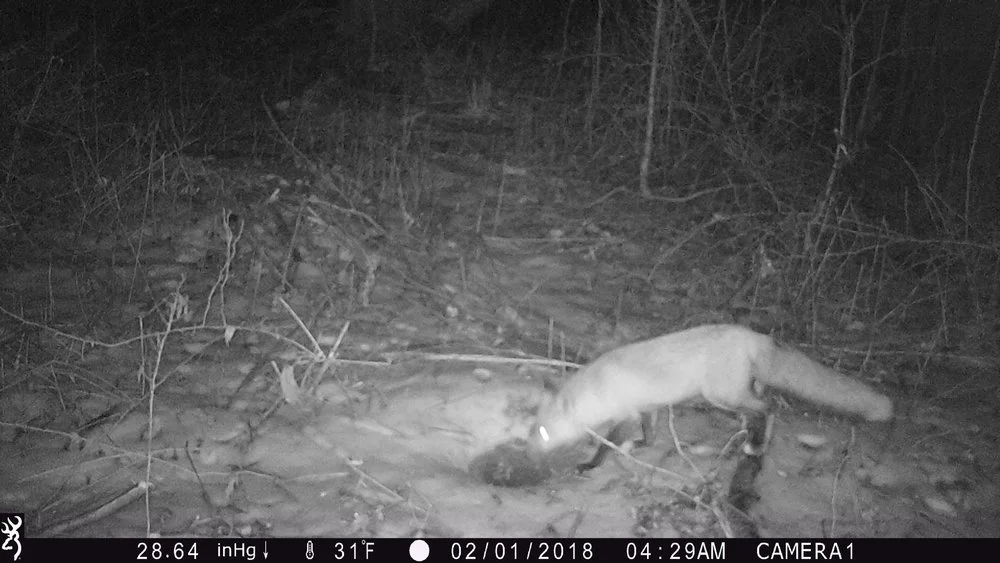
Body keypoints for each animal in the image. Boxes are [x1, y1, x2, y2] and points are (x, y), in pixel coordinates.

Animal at [532, 324, 893, 472]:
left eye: (543, 433)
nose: (529, 451)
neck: (597, 388)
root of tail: (755, 336)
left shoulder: (627, 413)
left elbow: (608, 445)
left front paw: (590, 464)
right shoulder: (647, 408)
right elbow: (650, 434)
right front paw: (641, 445)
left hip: (722, 395)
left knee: (766, 409)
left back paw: (755, 447)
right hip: (740, 391)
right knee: (759, 408)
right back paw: (744, 443)